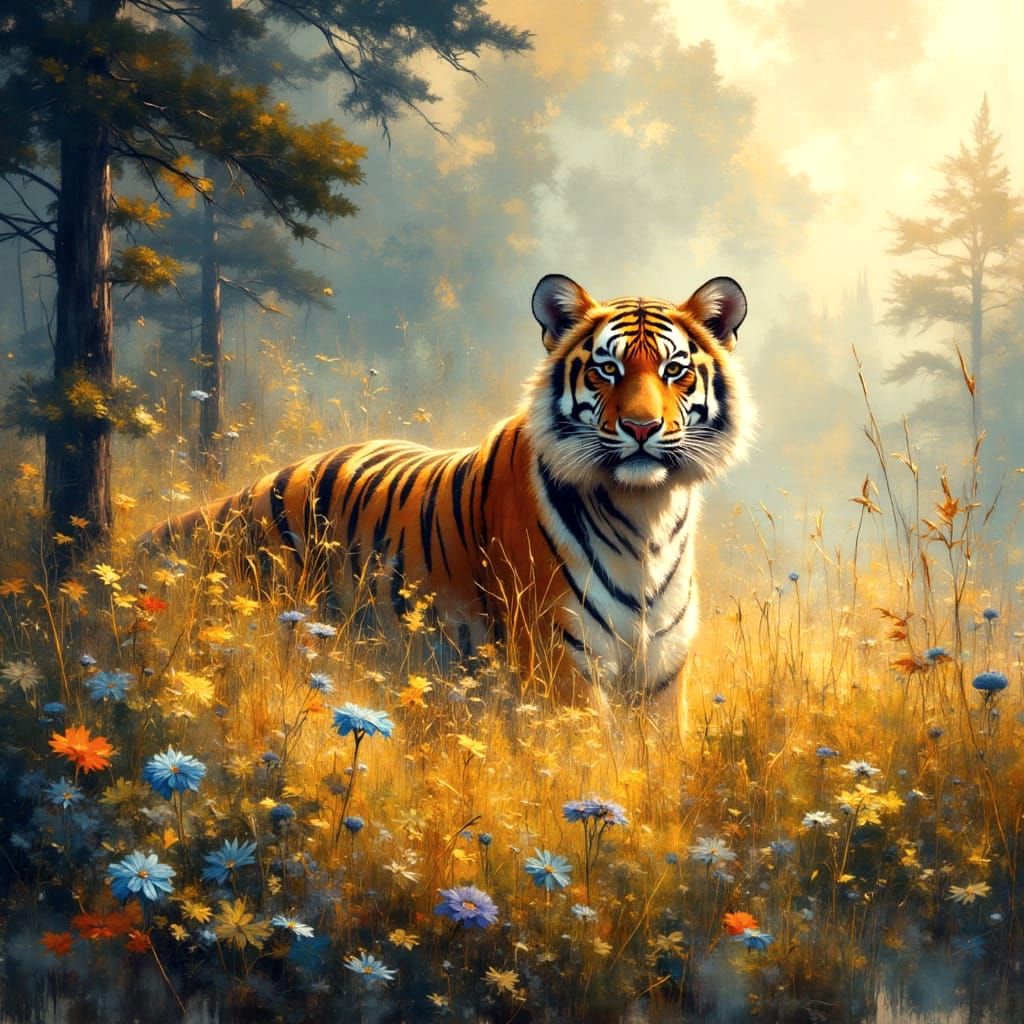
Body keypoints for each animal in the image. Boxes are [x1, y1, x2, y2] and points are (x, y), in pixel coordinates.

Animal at [141, 274, 752, 732]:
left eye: (674, 370)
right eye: (608, 369)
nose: (642, 428)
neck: (645, 513)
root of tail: (243, 495)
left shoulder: (661, 674)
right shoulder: (561, 662)